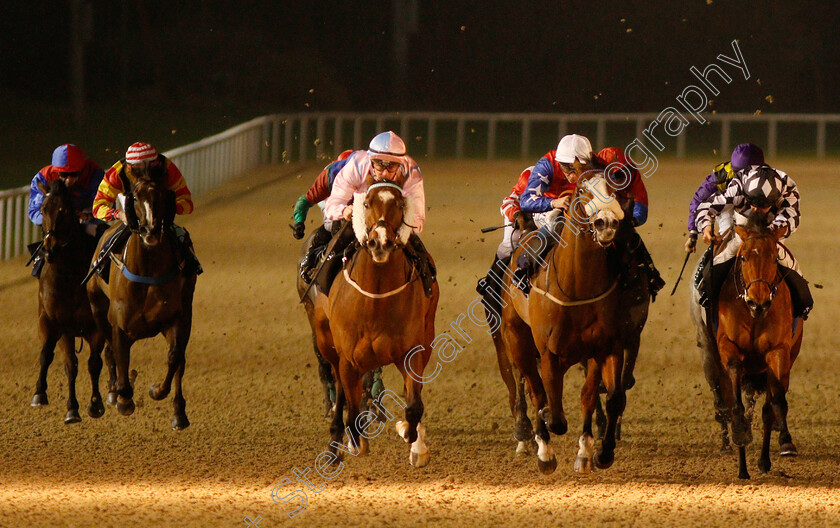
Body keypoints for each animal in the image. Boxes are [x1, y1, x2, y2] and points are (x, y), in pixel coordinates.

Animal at [29, 182, 107, 424]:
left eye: (65, 210)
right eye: (43, 209)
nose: (49, 250)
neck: (69, 276)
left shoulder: (95, 326)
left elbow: (94, 363)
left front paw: (95, 404)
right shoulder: (56, 323)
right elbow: (59, 360)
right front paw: (45, 396)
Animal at [86, 173, 196, 428]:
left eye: (164, 194)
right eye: (135, 197)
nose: (150, 230)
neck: (148, 272)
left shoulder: (176, 319)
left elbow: (174, 358)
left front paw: (157, 391)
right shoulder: (119, 323)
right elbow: (119, 355)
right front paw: (123, 398)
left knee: (180, 360)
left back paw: (179, 412)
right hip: (97, 307)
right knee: (108, 350)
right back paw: (111, 393)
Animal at [312, 182, 436, 466]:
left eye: (400, 204)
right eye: (366, 203)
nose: (380, 241)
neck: (375, 300)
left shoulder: (411, 352)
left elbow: (414, 404)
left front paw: (412, 437)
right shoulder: (347, 360)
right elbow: (351, 410)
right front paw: (353, 442)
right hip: (328, 346)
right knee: (340, 391)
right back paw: (336, 443)